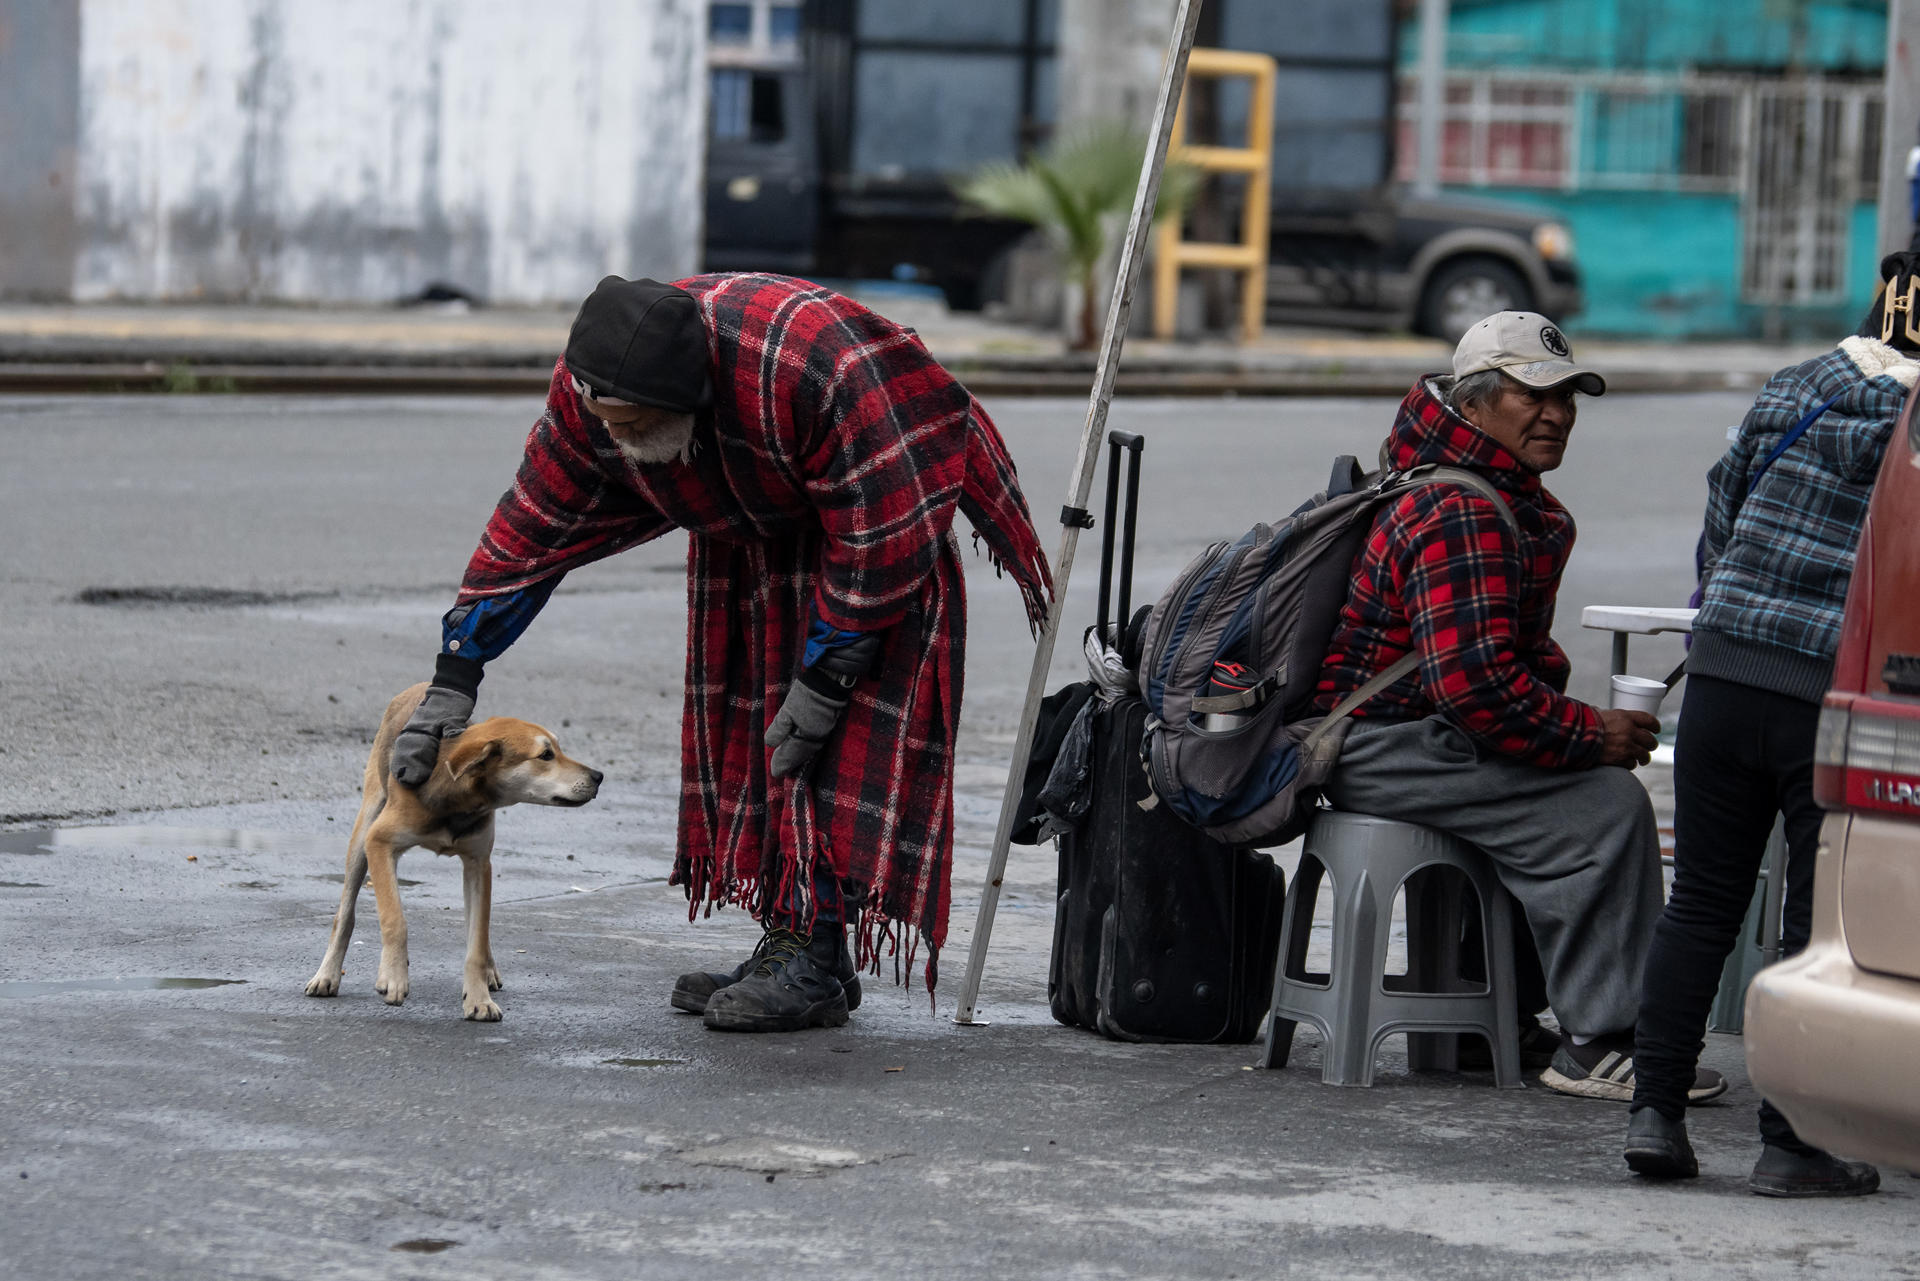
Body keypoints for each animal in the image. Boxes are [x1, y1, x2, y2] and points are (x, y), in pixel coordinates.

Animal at [303, 687, 599, 1029]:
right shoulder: (379, 843)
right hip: (364, 830)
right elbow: (394, 918)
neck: (459, 802)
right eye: (546, 755)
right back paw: (327, 975)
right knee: (345, 914)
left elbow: (477, 940)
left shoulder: (479, 863)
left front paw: (479, 999)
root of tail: (420, 685)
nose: (599, 776)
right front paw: (393, 977)